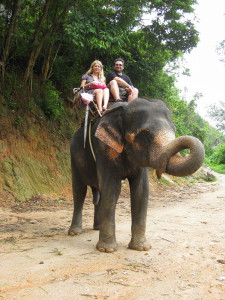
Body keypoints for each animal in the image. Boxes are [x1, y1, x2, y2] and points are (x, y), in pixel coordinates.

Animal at [68, 98, 204, 253]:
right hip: (73, 157)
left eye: (174, 129)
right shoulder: (103, 148)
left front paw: (141, 248)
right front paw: (107, 250)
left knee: (98, 194)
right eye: (145, 134)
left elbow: (141, 190)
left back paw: (97, 228)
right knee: (80, 191)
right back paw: (74, 232)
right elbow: (112, 189)